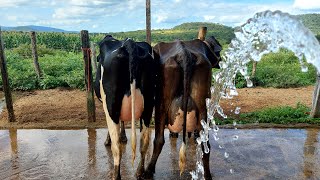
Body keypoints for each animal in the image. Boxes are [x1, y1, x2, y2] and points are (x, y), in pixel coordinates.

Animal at [94, 35, 156, 180]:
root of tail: (129, 42)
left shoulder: (108, 109)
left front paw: (109, 140)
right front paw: (124, 136)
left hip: (111, 106)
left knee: (117, 148)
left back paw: (115, 175)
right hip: (148, 106)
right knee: (144, 142)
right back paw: (139, 172)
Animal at [146, 35, 222, 179]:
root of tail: (184, 53)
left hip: (161, 103)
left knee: (158, 140)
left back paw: (148, 171)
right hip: (202, 104)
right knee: (206, 144)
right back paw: (207, 175)